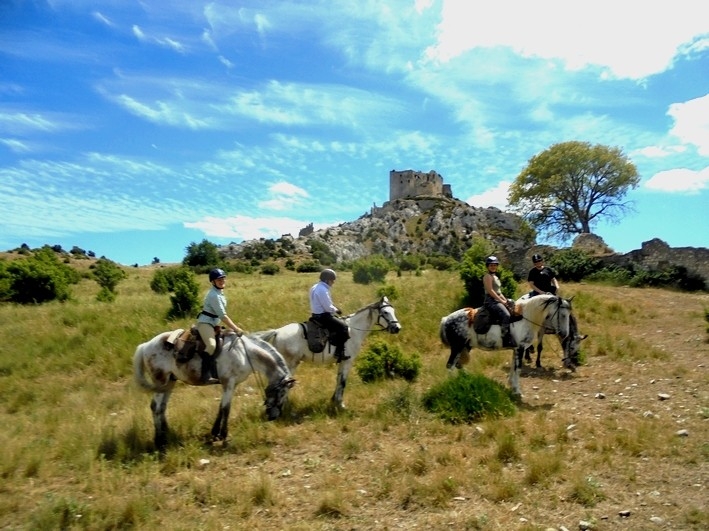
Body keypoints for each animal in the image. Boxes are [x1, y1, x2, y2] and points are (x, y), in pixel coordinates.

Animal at [252, 298, 402, 410]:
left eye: (394, 311)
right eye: (386, 312)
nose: (397, 328)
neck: (353, 330)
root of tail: (277, 332)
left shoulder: (342, 361)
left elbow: (338, 380)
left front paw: (334, 400)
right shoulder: (347, 361)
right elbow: (343, 381)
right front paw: (341, 404)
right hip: (290, 364)